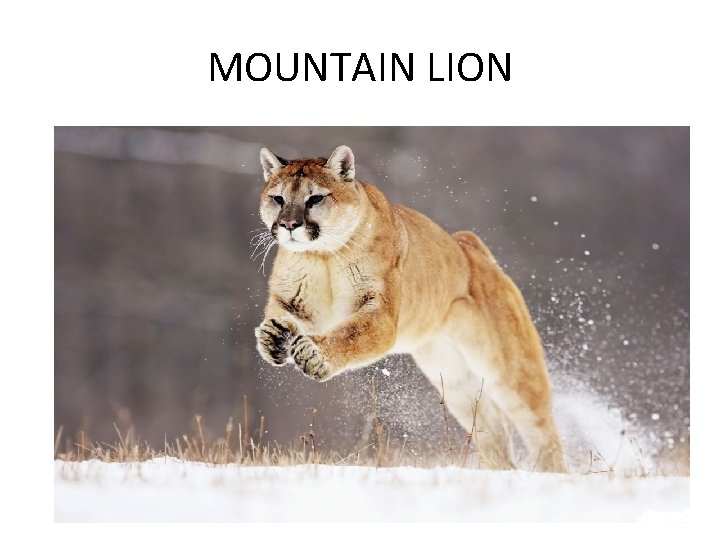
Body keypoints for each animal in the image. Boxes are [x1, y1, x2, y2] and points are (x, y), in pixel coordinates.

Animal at [253, 145, 566, 472]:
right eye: (278, 198)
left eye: (315, 198)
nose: (289, 225)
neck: (322, 255)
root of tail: (470, 245)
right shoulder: (295, 302)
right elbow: (282, 316)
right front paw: (272, 338)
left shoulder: (380, 314)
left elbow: (351, 334)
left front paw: (313, 355)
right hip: (455, 380)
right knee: (490, 428)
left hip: (510, 370)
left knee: (540, 427)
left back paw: (552, 474)